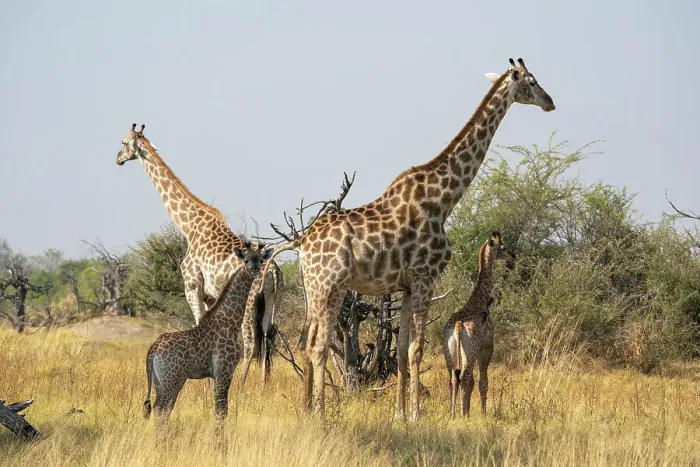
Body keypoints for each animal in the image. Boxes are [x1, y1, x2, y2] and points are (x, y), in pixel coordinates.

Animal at [116, 125, 283, 386]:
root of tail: (273, 269)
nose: (118, 159)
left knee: (250, 341)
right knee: (268, 335)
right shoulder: (211, 295)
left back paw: (242, 386)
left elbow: (197, 327)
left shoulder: (192, 286)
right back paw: (263, 387)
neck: (189, 227)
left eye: (123, 142)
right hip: (272, 299)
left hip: (251, 301)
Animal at [142, 241, 274, 424]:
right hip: (172, 380)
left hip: (159, 381)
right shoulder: (224, 370)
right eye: (246, 259)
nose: (254, 269)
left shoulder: (219, 374)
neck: (230, 320)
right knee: (163, 410)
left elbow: (220, 410)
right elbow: (221, 411)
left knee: (157, 409)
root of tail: (152, 351)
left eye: (261, 260)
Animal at [444, 232, 514, 418]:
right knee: (465, 378)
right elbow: (483, 381)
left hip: (449, 353)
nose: (513, 257)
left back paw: (453, 414)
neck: (479, 301)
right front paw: (482, 412)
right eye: (504, 247)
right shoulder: (486, 348)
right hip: (469, 353)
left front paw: (468, 410)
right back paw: (463, 415)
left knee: (453, 378)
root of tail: (458, 326)